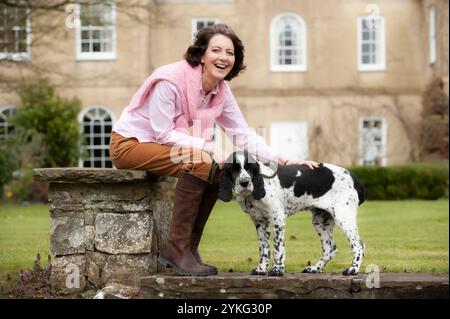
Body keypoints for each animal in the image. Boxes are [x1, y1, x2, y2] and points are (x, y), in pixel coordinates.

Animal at [219, 151, 366, 276]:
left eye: (250, 168)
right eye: (234, 169)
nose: (244, 183)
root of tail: (354, 177)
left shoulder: (278, 219)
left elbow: (278, 247)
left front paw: (277, 270)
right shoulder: (260, 222)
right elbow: (264, 249)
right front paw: (261, 269)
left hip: (344, 218)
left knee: (358, 245)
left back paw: (353, 269)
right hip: (320, 222)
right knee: (330, 248)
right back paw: (315, 268)